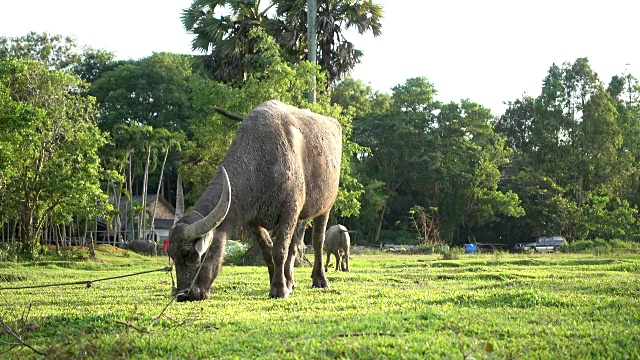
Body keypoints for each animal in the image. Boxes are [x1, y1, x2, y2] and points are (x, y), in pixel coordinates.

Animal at [168, 100, 342, 300]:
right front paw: (277, 282)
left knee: (317, 242)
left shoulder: (289, 211)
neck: (260, 163)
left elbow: (279, 250)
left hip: (325, 207)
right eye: (171, 254)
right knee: (294, 246)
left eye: (187, 253)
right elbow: (268, 251)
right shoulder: (255, 221)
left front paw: (279, 289)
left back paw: (320, 280)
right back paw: (290, 281)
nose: (184, 295)